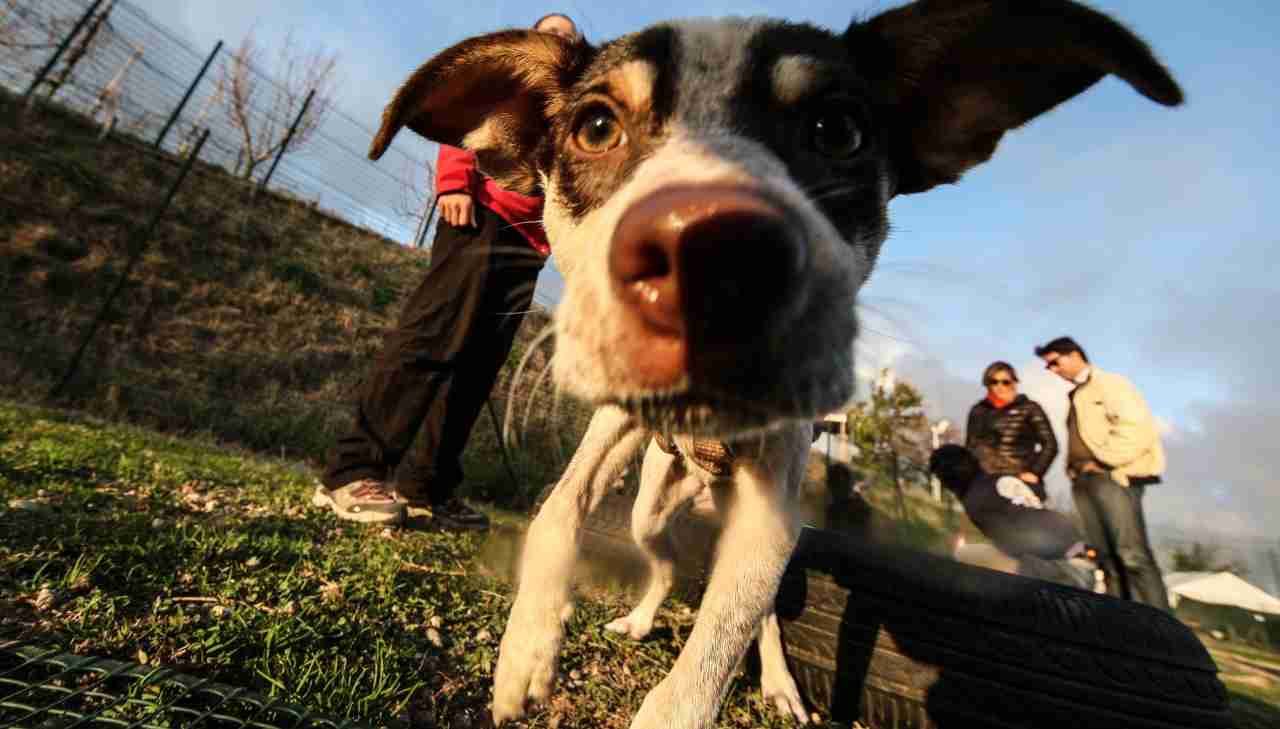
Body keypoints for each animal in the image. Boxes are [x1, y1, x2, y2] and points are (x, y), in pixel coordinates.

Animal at [368, 2, 1177, 721]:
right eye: (595, 127)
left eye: (839, 131)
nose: (712, 256)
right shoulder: (616, 423)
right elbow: (557, 509)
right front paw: (525, 656)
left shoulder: (770, 521)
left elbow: (705, 669)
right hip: (652, 509)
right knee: (665, 562)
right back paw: (639, 619)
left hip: (762, 534)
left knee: (755, 618)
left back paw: (783, 686)